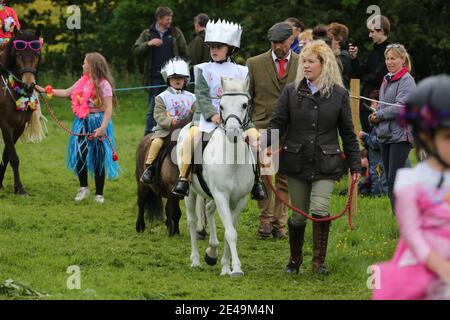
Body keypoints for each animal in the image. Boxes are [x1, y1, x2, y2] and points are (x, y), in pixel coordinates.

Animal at [0, 30, 42, 194]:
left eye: (36, 53)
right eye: (18, 54)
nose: (29, 85)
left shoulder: (19, 126)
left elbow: (7, 156)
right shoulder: (5, 125)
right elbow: (14, 157)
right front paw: (20, 188)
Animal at [177, 78, 255, 278]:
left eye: (244, 104)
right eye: (221, 105)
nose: (233, 132)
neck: (233, 161)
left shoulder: (239, 200)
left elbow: (230, 230)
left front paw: (226, 266)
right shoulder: (221, 196)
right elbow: (230, 233)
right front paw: (236, 269)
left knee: (209, 210)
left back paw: (211, 252)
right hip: (190, 193)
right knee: (192, 221)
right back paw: (196, 260)